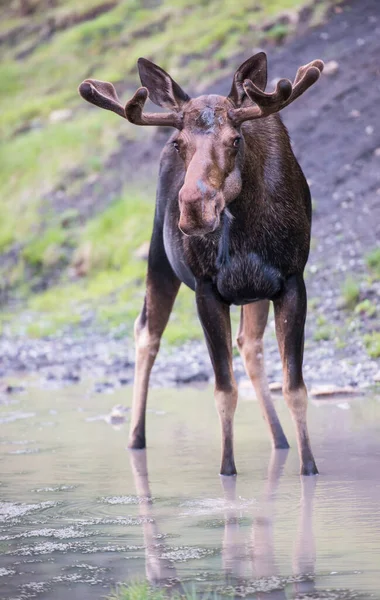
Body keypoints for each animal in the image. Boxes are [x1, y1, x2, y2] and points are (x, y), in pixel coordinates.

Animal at [79, 51, 324, 476]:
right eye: (180, 143)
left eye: (235, 139)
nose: (194, 206)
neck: (248, 231)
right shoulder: (207, 288)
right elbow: (224, 390)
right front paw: (228, 470)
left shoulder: (292, 279)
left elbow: (295, 387)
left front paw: (309, 467)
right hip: (158, 255)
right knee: (147, 331)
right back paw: (135, 438)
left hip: (253, 292)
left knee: (249, 343)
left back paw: (280, 440)